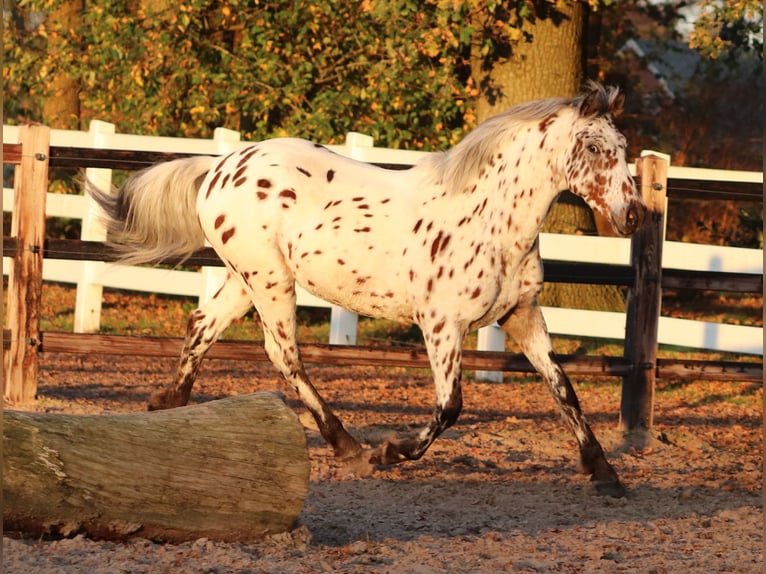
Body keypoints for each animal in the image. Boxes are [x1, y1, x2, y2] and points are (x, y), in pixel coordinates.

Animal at [94, 83, 648, 498]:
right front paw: (390, 452)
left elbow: (564, 390)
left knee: (202, 326)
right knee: (283, 354)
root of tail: (221, 166)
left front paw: (604, 473)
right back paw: (348, 447)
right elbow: (451, 406)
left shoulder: (523, 315)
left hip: (243, 278)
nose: (634, 216)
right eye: (593, 147)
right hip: (270, 281)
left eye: (624, 151)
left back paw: (169, 403)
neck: (489, 218)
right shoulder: (441, 325)